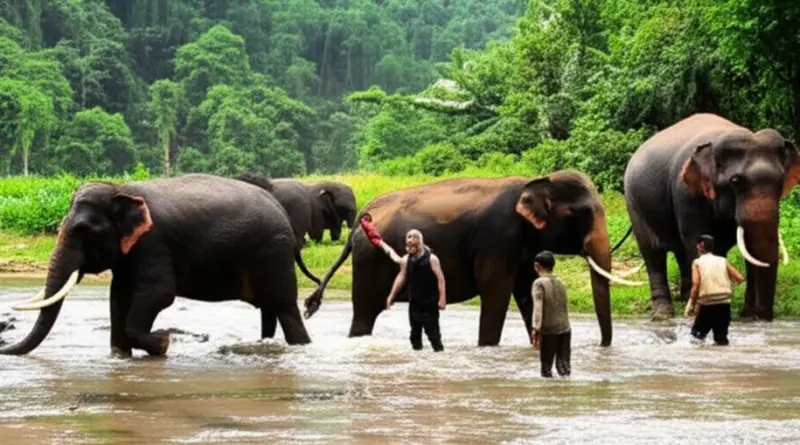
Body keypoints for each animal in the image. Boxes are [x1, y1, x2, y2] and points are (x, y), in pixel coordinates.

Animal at [0, 173, 320, 357]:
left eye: (83, 231)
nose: (4, 347)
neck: (121, 191)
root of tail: (284, 215)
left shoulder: (154, 243)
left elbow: (159, 293)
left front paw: (163, 343)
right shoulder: (131, 254)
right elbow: (118, 296)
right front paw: (120, 355)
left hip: (272, 255)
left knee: (285, 308)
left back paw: (301, 347)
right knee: (269, 309)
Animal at [303, 170, 643, 347]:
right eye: (581, 215)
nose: (600, 346)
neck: (537, 179)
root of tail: (361, 219)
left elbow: (527, 291)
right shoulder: (497, 237)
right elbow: (496, 291)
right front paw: (488, 347)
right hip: (369, 261)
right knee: (364, 313)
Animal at [622, 113, 800, 321]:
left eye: (781, 183)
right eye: (735, 181)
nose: (761, 318)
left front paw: (746, 315)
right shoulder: (688, 194)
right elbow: (696, 240)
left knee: (683, 251)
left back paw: (685, 299)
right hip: (634, 204)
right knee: (653, 253)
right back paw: (662, 315)